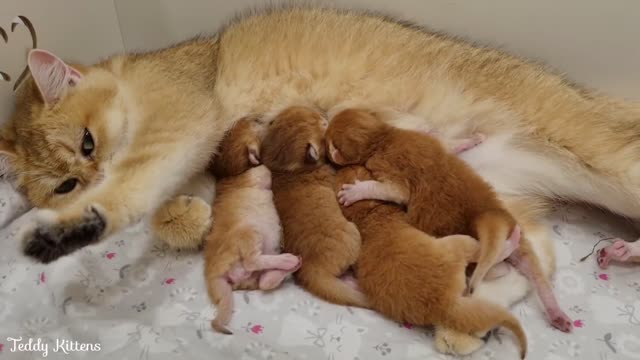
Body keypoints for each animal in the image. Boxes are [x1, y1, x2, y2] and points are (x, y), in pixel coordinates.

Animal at [328, 109, 572, 332]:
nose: (327, 119)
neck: (383, 137)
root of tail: (494, 215)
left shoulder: (388, 166)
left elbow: (394, 192)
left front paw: (354, 192)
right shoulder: (429, 141)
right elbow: (449, 146)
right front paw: (473, 139)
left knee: (489, 266)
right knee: (530, 273)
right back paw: (557, 314)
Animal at [336, 165, 524, 358]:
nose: (344, 166)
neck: (368, 218)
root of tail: (443, 304)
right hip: (458, 244)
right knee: (484, 253)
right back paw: (510, 247)